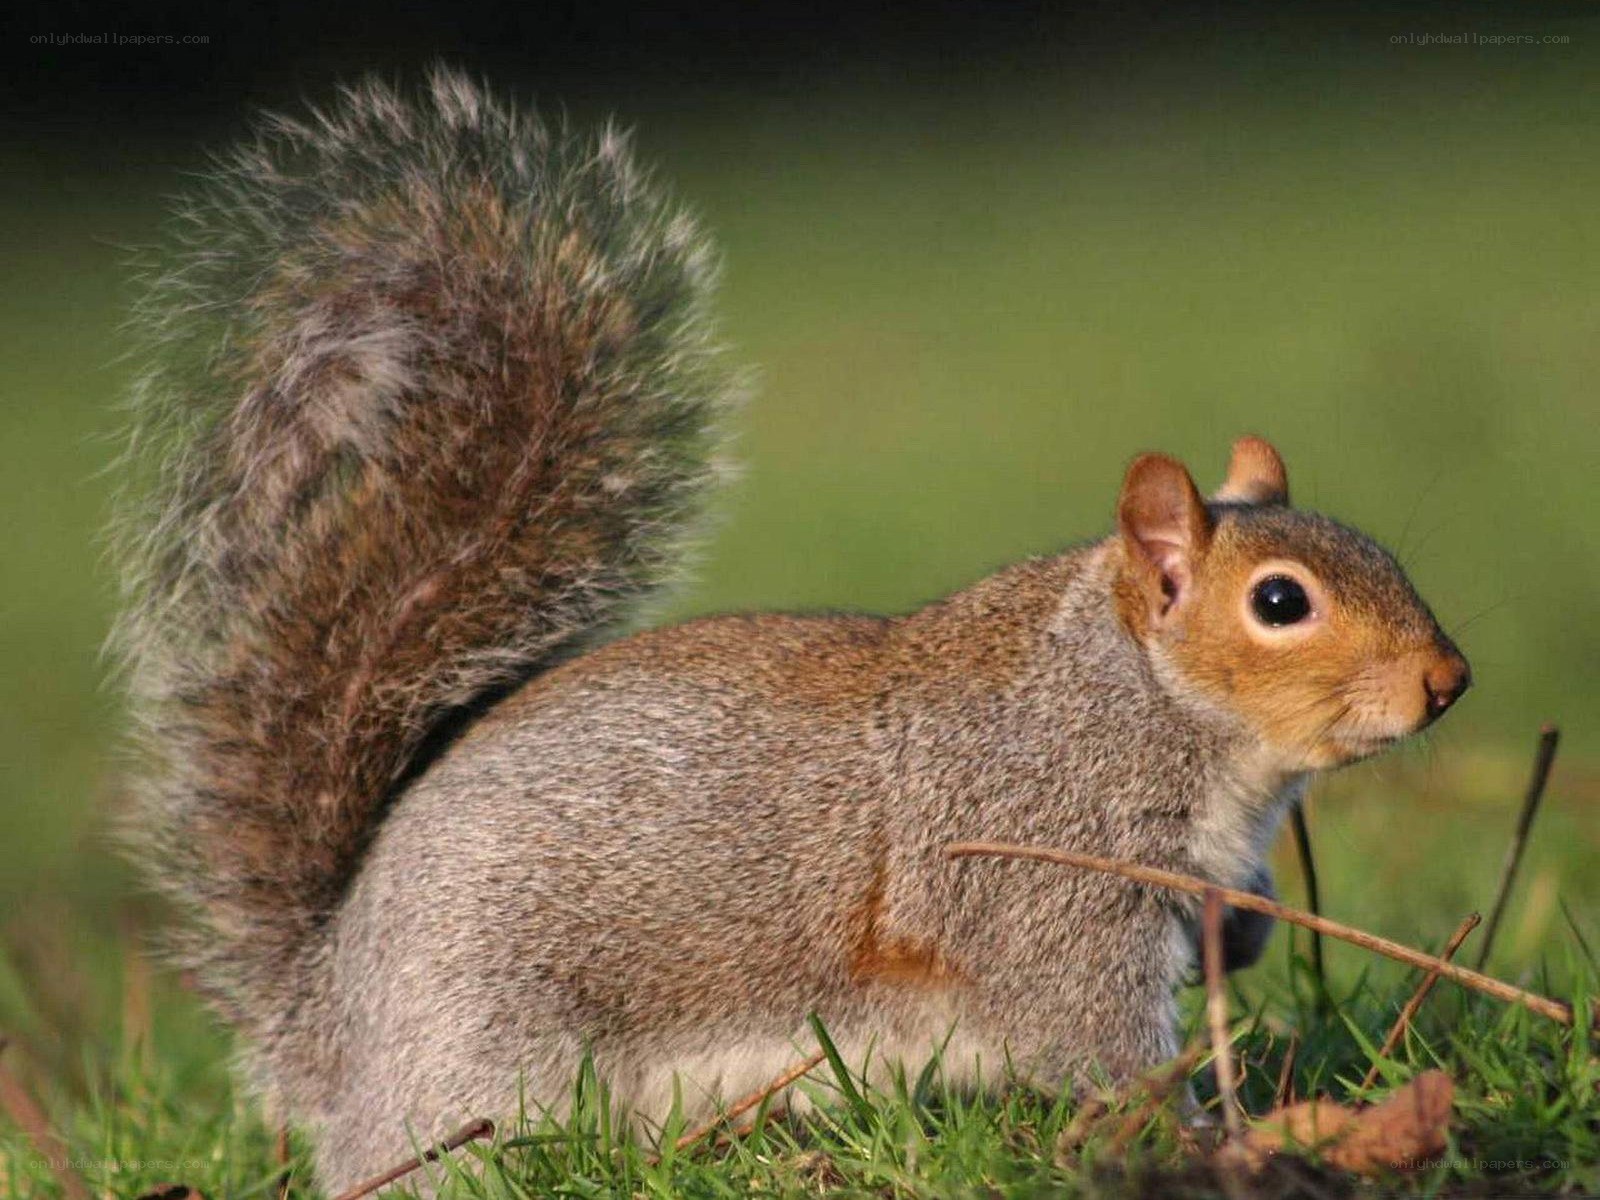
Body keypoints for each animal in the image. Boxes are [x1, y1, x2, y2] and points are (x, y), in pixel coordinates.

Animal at [112, 68, 1471, 1189]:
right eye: (1280, 602)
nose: (1447, 679)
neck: (1128, 702)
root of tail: (326, 1024)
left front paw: (1247, 941)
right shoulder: (1038, 882)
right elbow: (1092, 1039)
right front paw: (1206, 1140)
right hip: (482, 1056)